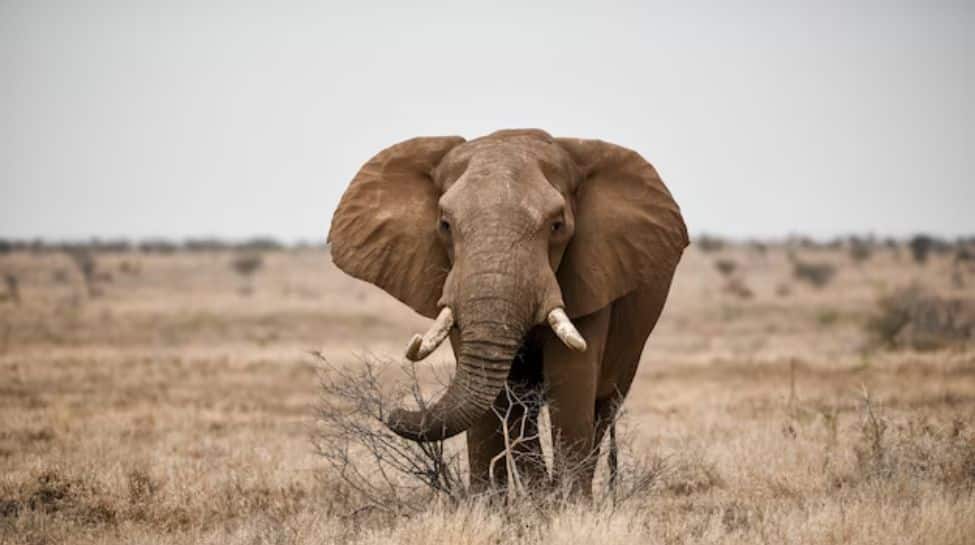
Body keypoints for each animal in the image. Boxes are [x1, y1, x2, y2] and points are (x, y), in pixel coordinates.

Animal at [328, 129, 687, 496]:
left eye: (557, 225)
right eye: (444, 224)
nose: (392, 412)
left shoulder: (592, 272)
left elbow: (571, 378)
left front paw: (568, 506)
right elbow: (496, 395)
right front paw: (491, 505)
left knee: (603, 406)